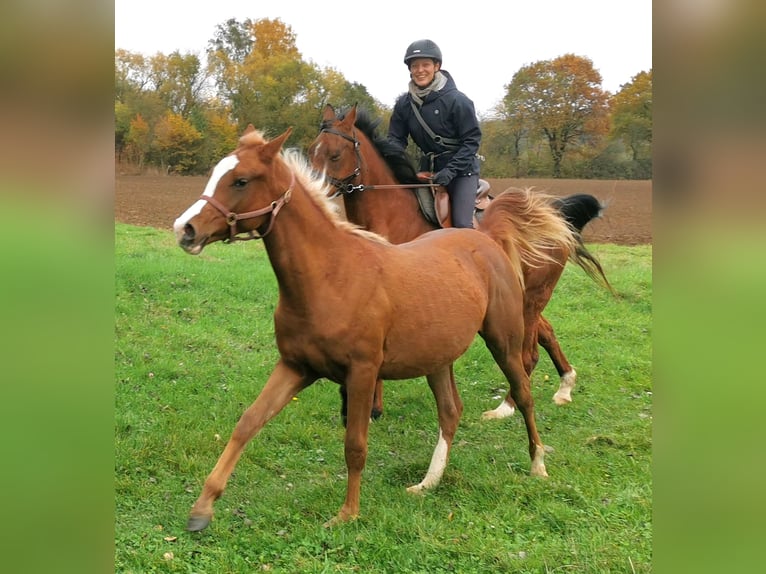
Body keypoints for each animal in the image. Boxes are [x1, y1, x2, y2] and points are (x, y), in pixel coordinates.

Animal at [172, 126, 576, 532]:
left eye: (241, 180)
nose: (185, 229)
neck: (331, 277)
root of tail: (487, 238)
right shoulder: (296, 367)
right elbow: (248, 422)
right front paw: (202, 508)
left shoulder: (362, 372)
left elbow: (355, 444)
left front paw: (347, 513)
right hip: (437, 358)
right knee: (451, 411)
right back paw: (428, 482)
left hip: (503, 339)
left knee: (523, 391)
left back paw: (537, 462)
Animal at [308, 104, 616, 418]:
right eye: (311, 150)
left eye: (335, 154)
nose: (312, 189)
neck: (395, 216)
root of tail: (553, 215)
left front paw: (372, 406)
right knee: (547, 332)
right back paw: (565, 386)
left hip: (532, 299)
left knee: (527, 355)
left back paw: (507, 406)